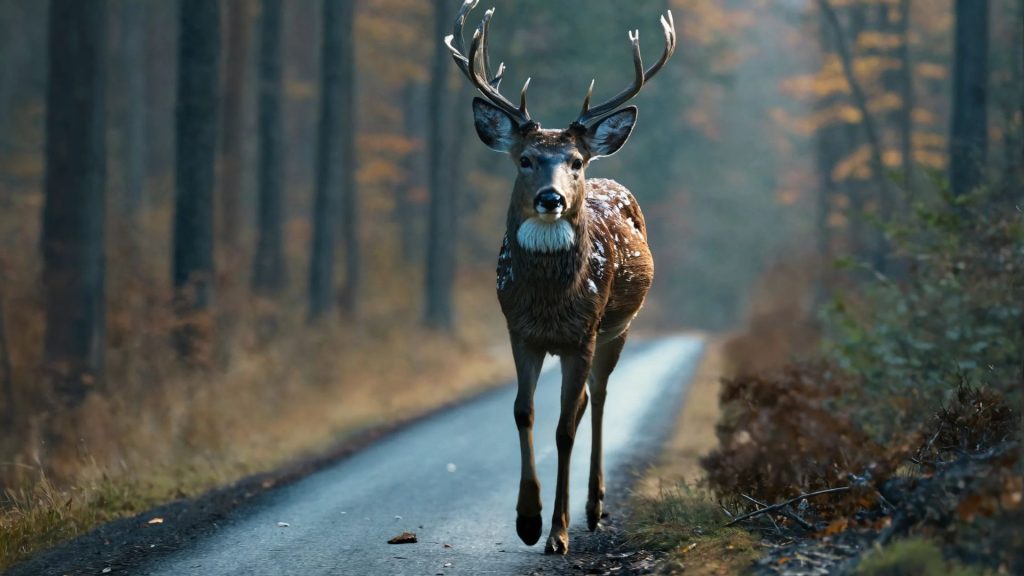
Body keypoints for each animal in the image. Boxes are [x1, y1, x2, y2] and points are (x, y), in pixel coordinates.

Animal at [444, 0, 676, 555]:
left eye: (574, 161)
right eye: (525, 159)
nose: (551, 198)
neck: (550, 302)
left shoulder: (582, 334)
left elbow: (564, 430)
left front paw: (557, 532)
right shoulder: (520, 332)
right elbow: (522, 412)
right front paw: (527, 520)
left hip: (617, 329)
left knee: (598, 400)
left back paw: (592, 507)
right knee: (586, 401)